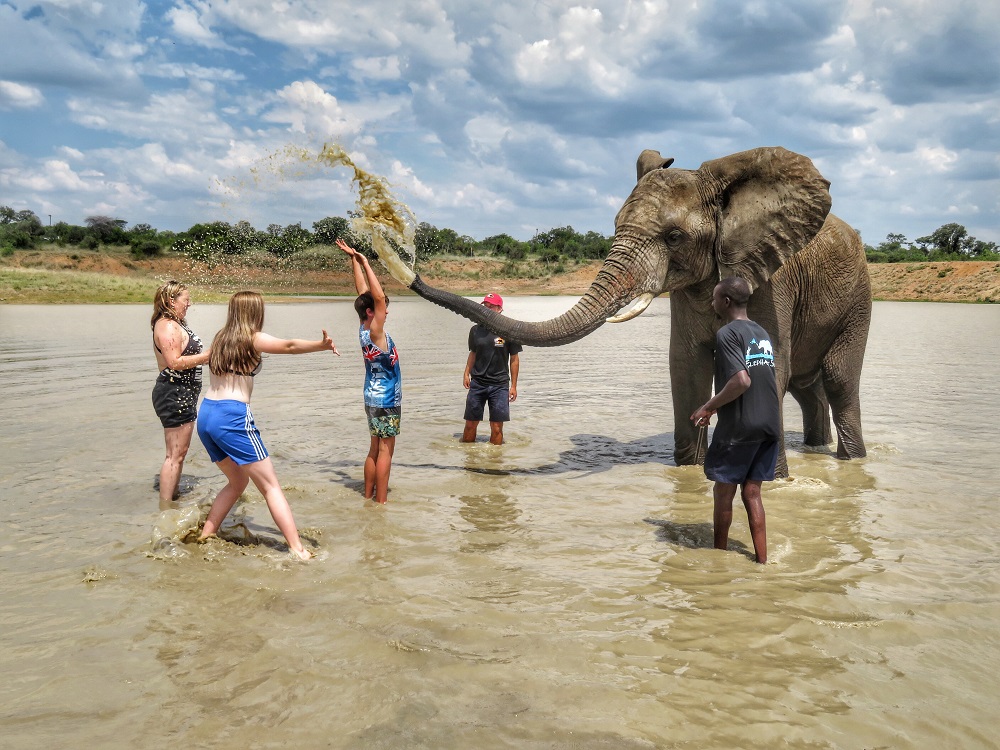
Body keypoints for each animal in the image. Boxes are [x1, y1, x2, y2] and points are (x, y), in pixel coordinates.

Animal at [378, 146, 870, 477]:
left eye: (673, 237)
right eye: (615, 227)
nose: (405, 266)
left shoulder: (771, 278)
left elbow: (769, 368)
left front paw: (774, 482)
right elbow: (686, 368)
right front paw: (689, 476)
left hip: (858, 296)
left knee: (837, 378)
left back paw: (851, 458)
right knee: (807, 388)